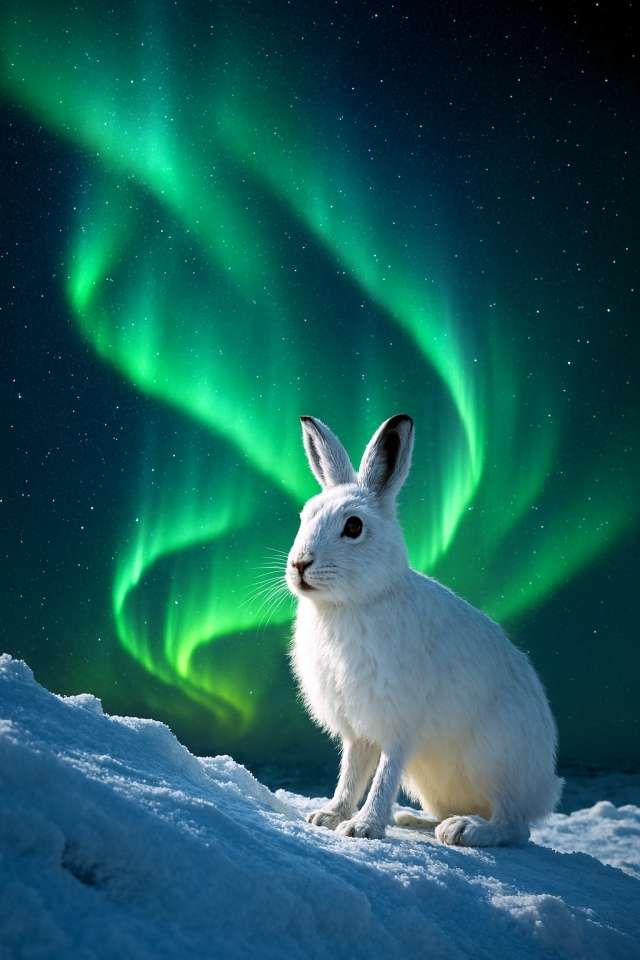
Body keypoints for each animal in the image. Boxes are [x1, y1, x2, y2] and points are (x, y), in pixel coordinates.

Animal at [286, 413, 563, 846]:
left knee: (514, 826)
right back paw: (415, 821)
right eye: (304, 517)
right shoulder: (357, 732)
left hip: (495, 756)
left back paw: (465, 831)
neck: (353, 603)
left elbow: (384, 775)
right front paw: (328, 816)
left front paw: (363, 828)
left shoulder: (399, 723)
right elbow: (351, 774)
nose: (300, 564)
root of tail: (545, 789)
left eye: (353, 526)